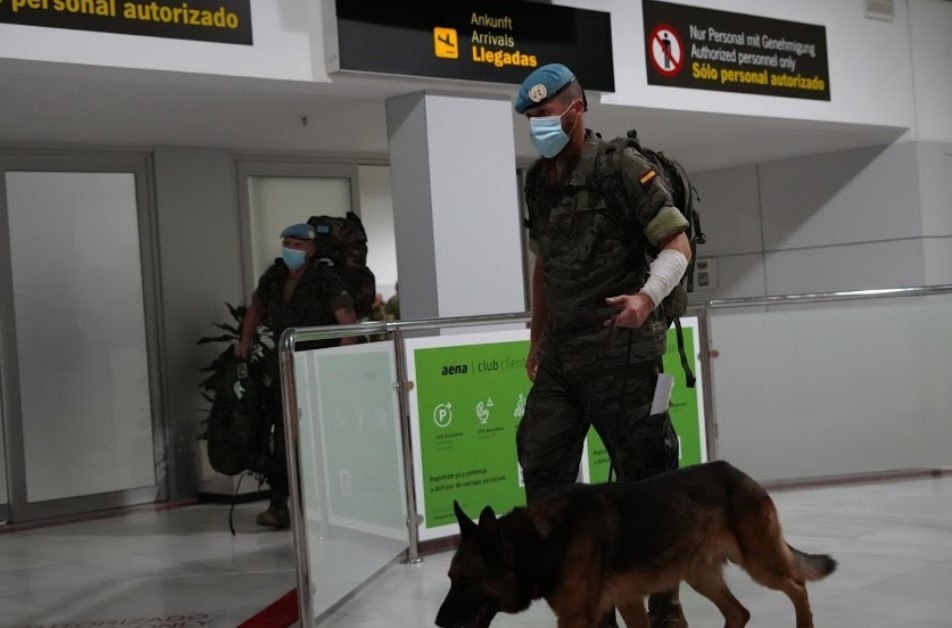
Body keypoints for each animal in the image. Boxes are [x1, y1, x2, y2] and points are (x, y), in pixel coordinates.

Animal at [435, 461, 836, 628]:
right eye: (451, 579)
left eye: (467, 581)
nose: (437, 622)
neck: (541, 542)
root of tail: (741, 475)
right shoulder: (625, 603)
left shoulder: (574, 619)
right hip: (700, 576)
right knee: (739, 613)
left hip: (760, 563)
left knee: (797, 585)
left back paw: (805, 625)